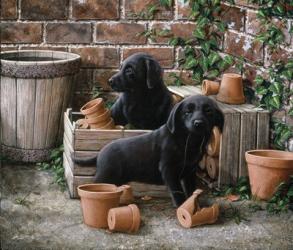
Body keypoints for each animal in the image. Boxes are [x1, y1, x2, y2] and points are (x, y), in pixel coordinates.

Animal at [73, 95, 224, 207]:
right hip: (106, 175)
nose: (198, 123)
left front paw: (195, 205)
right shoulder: (169, 169)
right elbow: (177, 191)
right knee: (93, 187)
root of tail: (100, 153)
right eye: (187, 112)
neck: (188, 141)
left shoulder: (190, 172)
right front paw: (182, 206)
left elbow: (191, 190)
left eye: (208, 111)